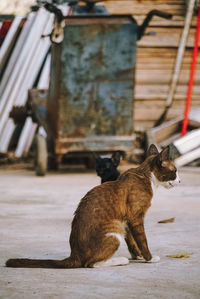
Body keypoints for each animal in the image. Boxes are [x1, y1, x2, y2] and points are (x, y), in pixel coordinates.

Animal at [5, 144, 180, 268]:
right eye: (175, 171)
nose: (180, 180)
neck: (147, 177)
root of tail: (74, 255)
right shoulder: (135, 218)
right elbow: (142, 240)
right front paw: (149, 258)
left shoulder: (126, 221)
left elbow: (132, 241)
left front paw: (137, 256)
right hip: (114, 232)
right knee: (90, 264)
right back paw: (120, 260)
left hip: (118, 226)